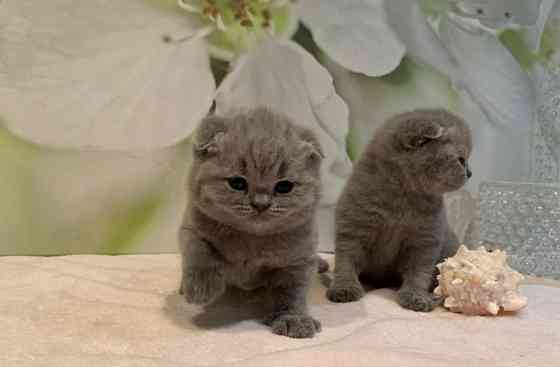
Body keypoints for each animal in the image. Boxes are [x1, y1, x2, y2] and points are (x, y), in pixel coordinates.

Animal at [179, 106, 326, 340]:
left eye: (284, 187)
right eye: (237, 183)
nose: (260, 204)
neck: (252, 241)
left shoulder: (298, 260)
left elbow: (292, 293)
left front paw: (293, 319)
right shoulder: (191, 226)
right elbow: (199, 250)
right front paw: (201, 286)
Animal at [328, 109, 472, 314]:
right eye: (461, 160)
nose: (470, 173)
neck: (402, 200)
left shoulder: (424, 241)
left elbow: (418, 273)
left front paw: (415, 297)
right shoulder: (352, 229)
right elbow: (345, 262)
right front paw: (344, 288)